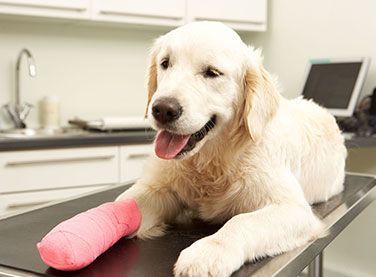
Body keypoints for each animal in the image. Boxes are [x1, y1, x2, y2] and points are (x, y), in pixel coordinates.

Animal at [117, 20, 346, 274]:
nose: (163, 109)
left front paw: (207, 252)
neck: (213, 160)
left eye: (212, 72)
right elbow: (123, 205)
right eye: (165, 63)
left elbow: (242, 221)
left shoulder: (294, 209)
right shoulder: (158, 187)